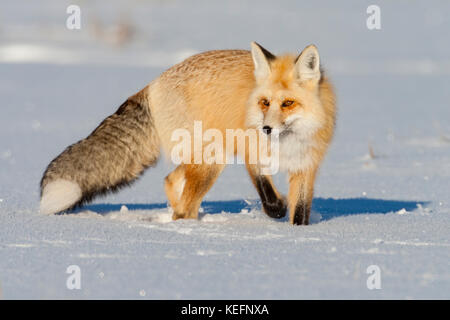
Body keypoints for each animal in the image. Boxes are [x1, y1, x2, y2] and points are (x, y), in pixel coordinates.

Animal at [40, 43, 336, 225]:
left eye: (288, 103)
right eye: (264, 102)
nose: (266, 129)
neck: (286, 144)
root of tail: (154, 83)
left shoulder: (306, 166)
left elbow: (300, 213)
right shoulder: (249, 149)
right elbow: (268, 192)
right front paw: (276, 209)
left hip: (203, 157)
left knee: (171, 181)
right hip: (213, 159)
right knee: (183, 209)